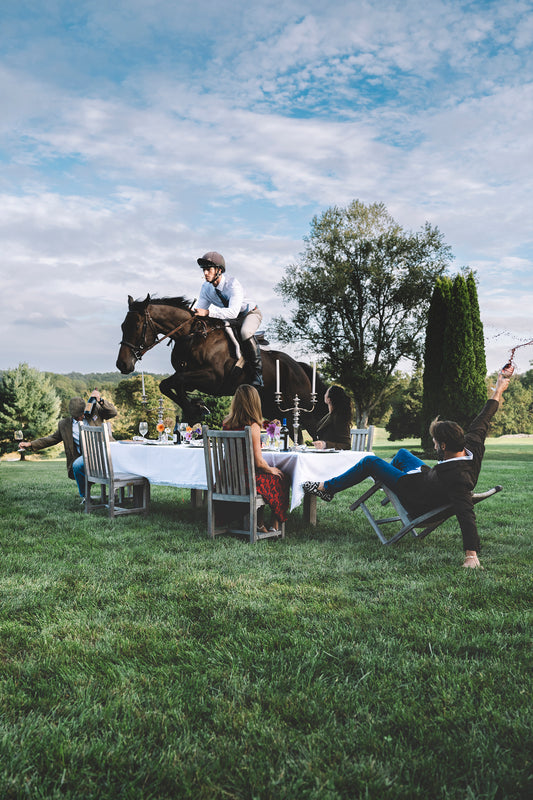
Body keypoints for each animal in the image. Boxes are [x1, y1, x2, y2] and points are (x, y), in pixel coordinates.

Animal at [114, 294, 326, 438]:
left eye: (136, 326)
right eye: (123, 326)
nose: (122, 364)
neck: (191, 336)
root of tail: (298, 366)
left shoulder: (213, 379)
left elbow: (176, 382)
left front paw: (196, 409)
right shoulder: (188, 375)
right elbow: (168, 385)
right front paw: (196, 407)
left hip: (300, 407)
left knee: (315, 428)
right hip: (276, 408)